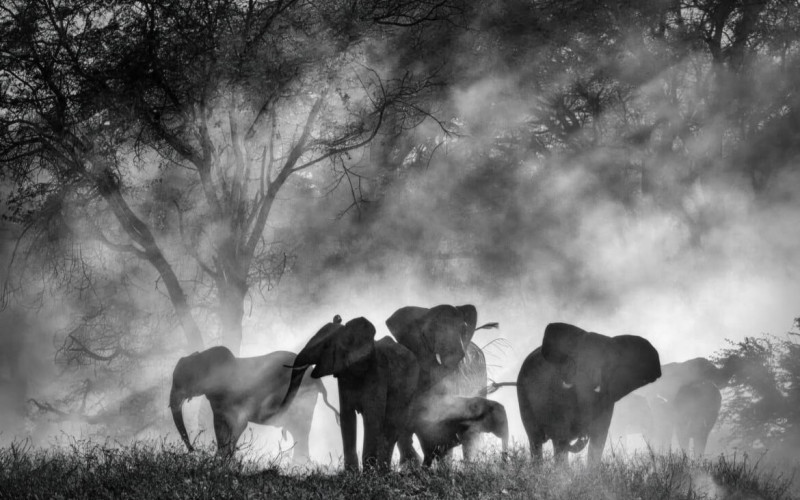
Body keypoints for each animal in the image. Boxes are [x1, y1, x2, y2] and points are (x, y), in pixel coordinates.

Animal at [169, 346, 339, 459]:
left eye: (182, 381)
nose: (194, 450)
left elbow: (237, 424)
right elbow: (220, 426)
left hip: (303, 399)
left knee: (301, 431)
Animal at [282, 315, 419, 472]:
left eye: (326, 346)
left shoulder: (377, 372)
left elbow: (372, 418)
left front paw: (368, 473)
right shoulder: (344, 375)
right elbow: (347, 417)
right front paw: (351, 473)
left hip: (409, 388)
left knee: (392, 426)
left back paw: (383, 472)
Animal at [517, 322, 661, 465]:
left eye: (607, 364)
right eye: (575, 360)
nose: (583, 434)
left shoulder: (607, 398)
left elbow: (598, 438)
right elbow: (561, 435)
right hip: (523, 396)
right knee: (536, 440)